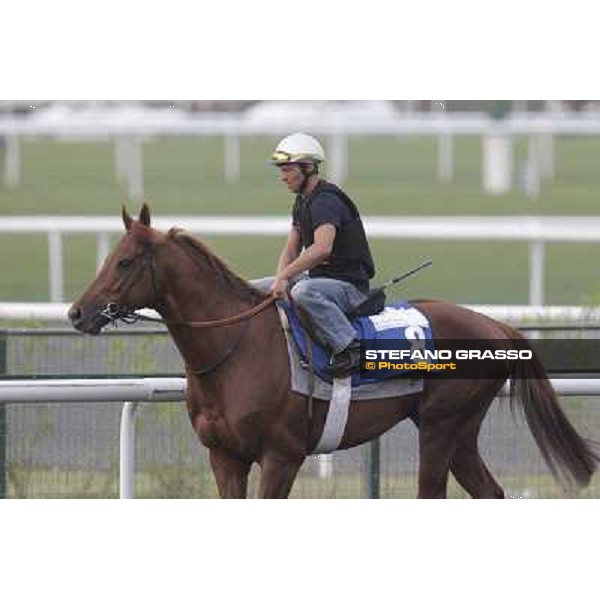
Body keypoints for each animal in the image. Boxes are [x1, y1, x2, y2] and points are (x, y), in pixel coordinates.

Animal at [69, 205, 596, 496]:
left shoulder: (282, 456)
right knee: (490, 492)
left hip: (442, 426)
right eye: (108, 258)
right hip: (459, 432)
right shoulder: (225, 457)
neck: (235, 350)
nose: (78, 313)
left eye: (125, 261)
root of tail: (497, 324)